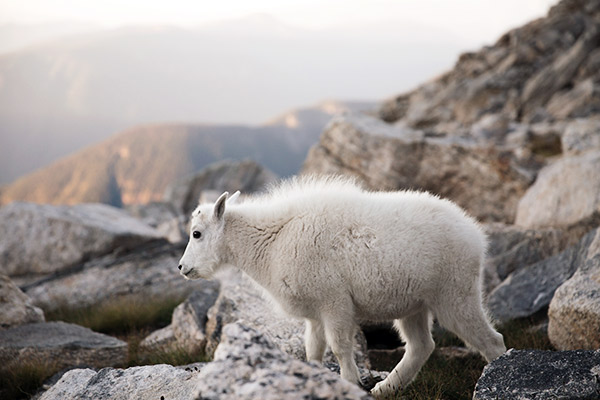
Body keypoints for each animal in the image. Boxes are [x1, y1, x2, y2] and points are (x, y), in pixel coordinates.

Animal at [178, 177, 506, 398]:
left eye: (197, 233)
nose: (182, 268)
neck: (272, 241)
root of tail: (475, 235)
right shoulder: (314, 313)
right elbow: (313, 349)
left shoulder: (334, 302)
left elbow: (339, 346)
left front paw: (349, 383)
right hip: (414, 304)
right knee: (420, 346)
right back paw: (385, 388)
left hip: (455, 294)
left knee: (491, 340)